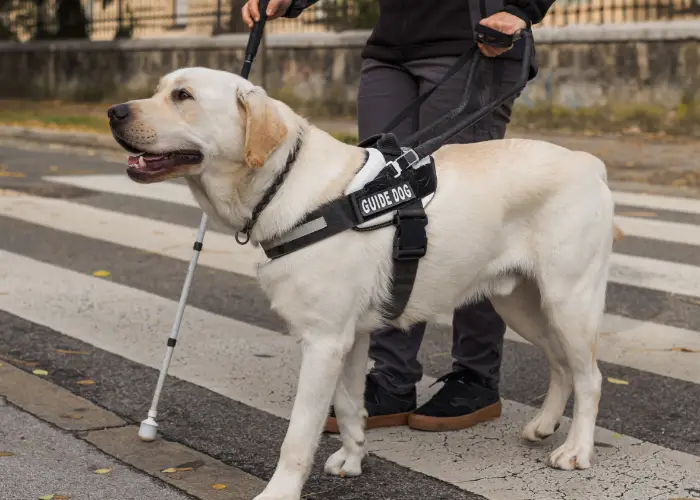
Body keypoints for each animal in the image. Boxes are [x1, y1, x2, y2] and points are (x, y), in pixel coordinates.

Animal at [108, 67, 616, 500]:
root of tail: (589, 162)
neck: (286, 186)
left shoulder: (323, 341)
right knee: (561, 364)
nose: (114, 111)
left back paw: (576, 450)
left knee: (589, 376)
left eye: (183, 96)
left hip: (569, 299)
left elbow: (298, 435)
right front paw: (353, 459)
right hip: (520, 303)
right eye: (160, 89)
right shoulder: (348, 339)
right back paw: (544, 425)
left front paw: (279, 492)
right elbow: (351, 407)